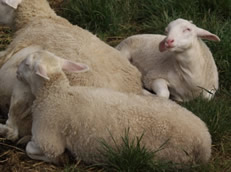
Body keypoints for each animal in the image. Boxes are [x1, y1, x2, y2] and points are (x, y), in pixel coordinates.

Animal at [15, 50, 211, 165]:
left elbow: (34, 149)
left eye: (27, 64)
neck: (55, 93)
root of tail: (205, 143)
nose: (16, 72)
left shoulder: (48, 139)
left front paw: (61, 158)